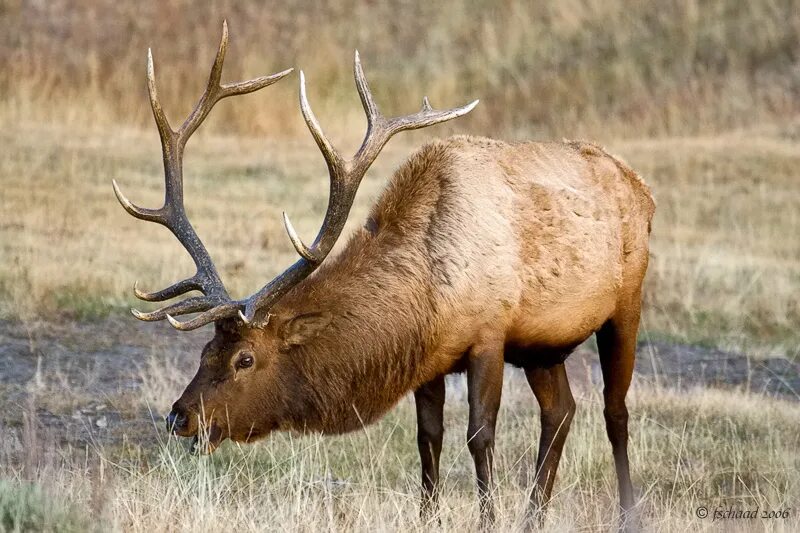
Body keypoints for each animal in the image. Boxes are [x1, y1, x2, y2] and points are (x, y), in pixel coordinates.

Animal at [114, 21, 656, 528]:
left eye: (245, 359)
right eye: (205, 348)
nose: (179, 415)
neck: (429, 295)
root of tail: (640, 185)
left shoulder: (489, 335)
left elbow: (480, 435)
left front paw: (487, 519)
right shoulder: (431, 360)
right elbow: (428, 437)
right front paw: (428, 517)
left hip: (626, 302)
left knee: (614, 410)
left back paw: (627, 513)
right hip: (543, 346)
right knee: (561, 410)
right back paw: (534, 516)